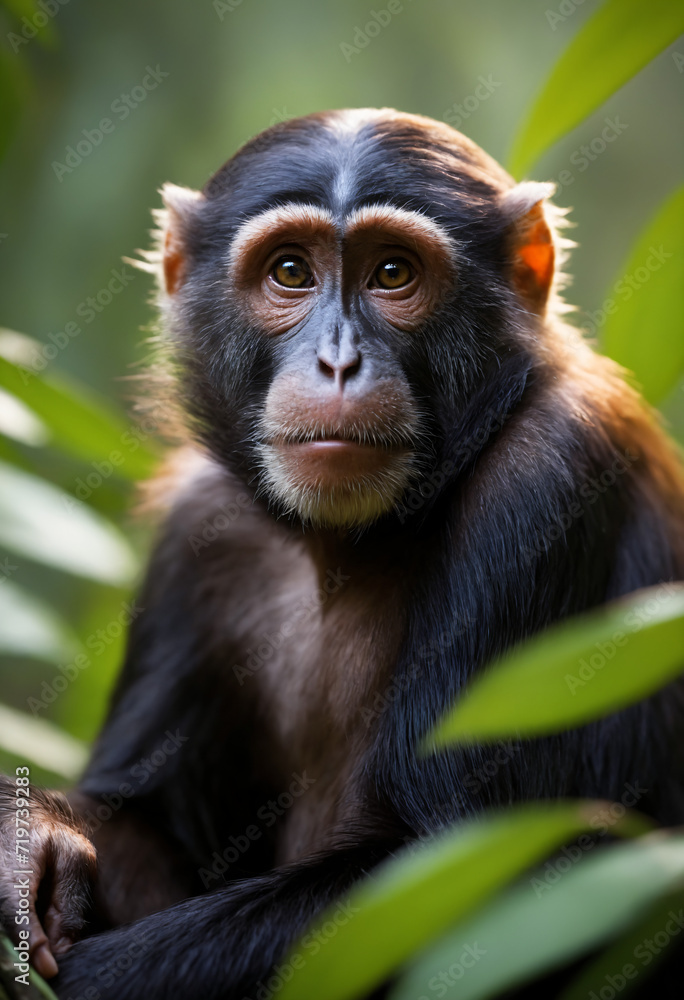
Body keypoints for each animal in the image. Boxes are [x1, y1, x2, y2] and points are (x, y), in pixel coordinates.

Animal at [1, 107, 683, 1000]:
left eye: (393, 272)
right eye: (290, 271)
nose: (337, 359)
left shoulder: (550, 476)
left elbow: (461, 871)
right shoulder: (197, 532)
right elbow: (148, 823)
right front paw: (31, 837)